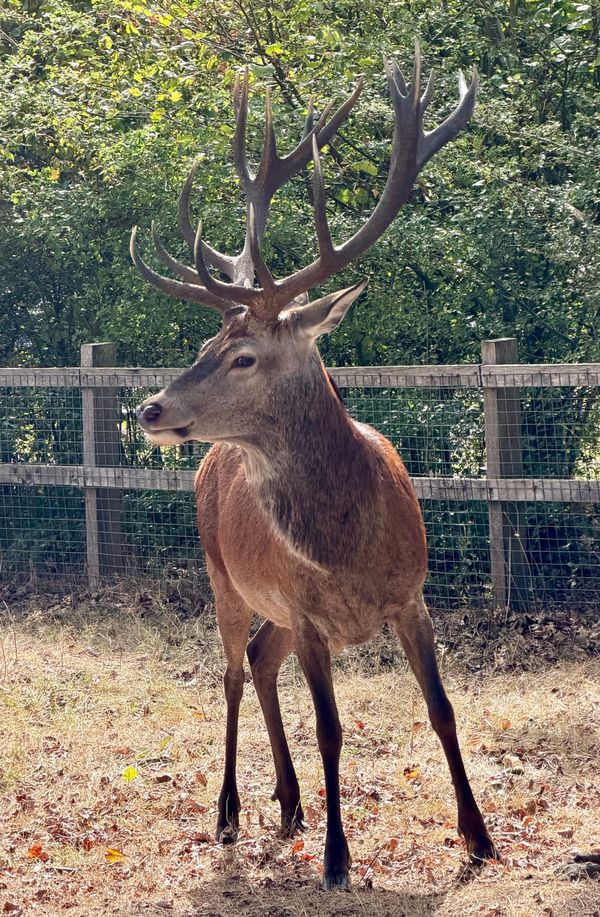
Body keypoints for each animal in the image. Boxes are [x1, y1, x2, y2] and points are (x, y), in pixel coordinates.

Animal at [133, 46, 498, 889]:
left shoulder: (413, 594)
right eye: (205, 343)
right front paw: (338, 858)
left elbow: (443, 708)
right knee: (232, 672)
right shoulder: (307, 615)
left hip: (266, 602)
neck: (347, 549)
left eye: (242, 353)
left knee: (258, 663)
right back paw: (231, 812)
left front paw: (478, 835)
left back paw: (290, 800)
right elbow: (332, 728)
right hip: (224, 575)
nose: (149, 409)